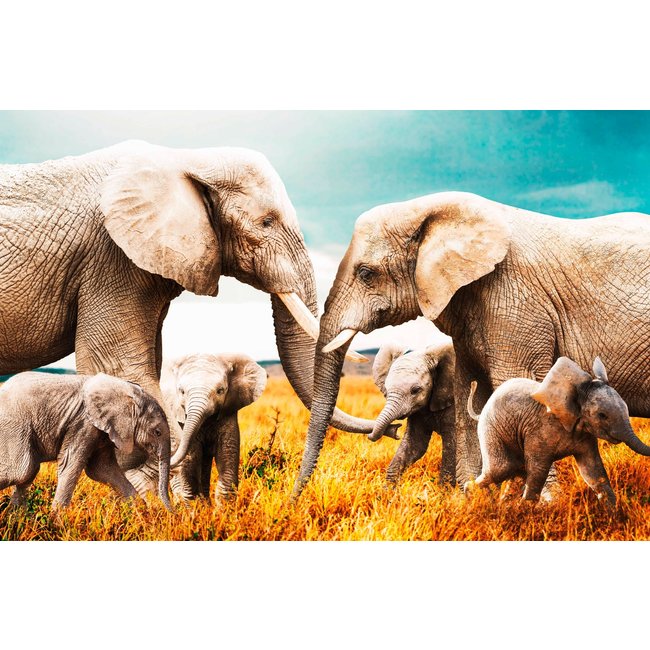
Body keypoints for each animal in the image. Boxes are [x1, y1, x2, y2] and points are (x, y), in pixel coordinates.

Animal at [0, 371, 171, 510]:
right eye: (157, 432)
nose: (172, 513)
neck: (126, 389)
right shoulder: (83, 422)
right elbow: (70, 463)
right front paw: (58, 521)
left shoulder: (102, 430)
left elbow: (102, 469)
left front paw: (141, 513)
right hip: (14, 427)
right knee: (22, 470)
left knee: (28, 473)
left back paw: (15, 517)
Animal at [160, 352, 266, 501]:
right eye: (181, 391)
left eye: (220, 391)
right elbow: (191, 457)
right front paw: (193, 505)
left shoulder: (228, 414)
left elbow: (227, 455)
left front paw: (223, 507)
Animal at [370, 339, 455, 485]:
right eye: (386, 388)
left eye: (415, 390)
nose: (370, 436)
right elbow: (415, 444)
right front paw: (388, 491)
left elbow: (453, 445)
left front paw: (445, 490)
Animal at [466, 357, 650, 506]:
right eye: (602, 415)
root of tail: (480, 413)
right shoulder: (540, 431)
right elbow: (538, 471)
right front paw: (526, 513)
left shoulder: (585, 434)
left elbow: (593, 470)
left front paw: (614, 514)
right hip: (491, 429)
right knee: (502, 468)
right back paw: (469, 496)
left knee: (516, 471)